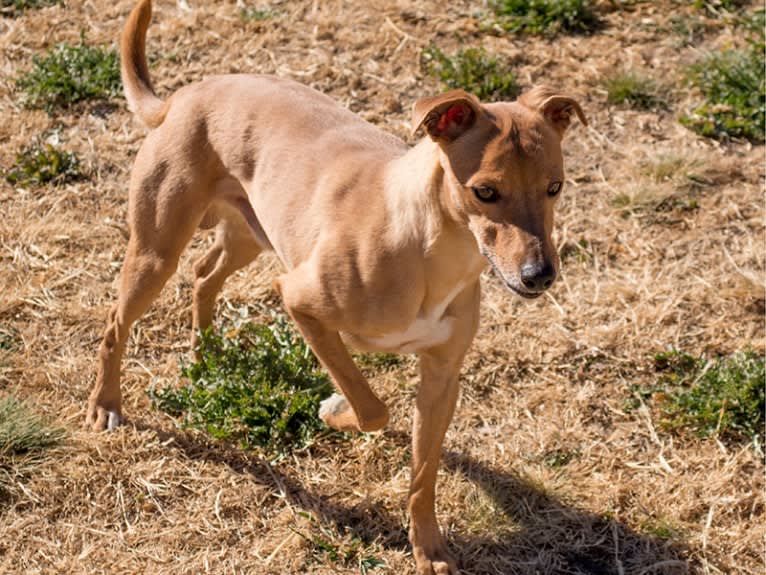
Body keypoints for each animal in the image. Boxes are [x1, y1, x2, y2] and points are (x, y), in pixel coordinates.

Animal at [85, 1, 588, 572]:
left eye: (555, 187)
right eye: (484, 192)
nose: (539, 275)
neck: (429, 250)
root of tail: (185, 96)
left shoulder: (442, 376)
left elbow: (423, 475)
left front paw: (428, 547)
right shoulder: (299, 301)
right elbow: (372, 406)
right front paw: (333, 409)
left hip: (250, 234)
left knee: (204, 275)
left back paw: (207, 352)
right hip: (156, 251)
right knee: (117, 321)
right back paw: (105, 404)